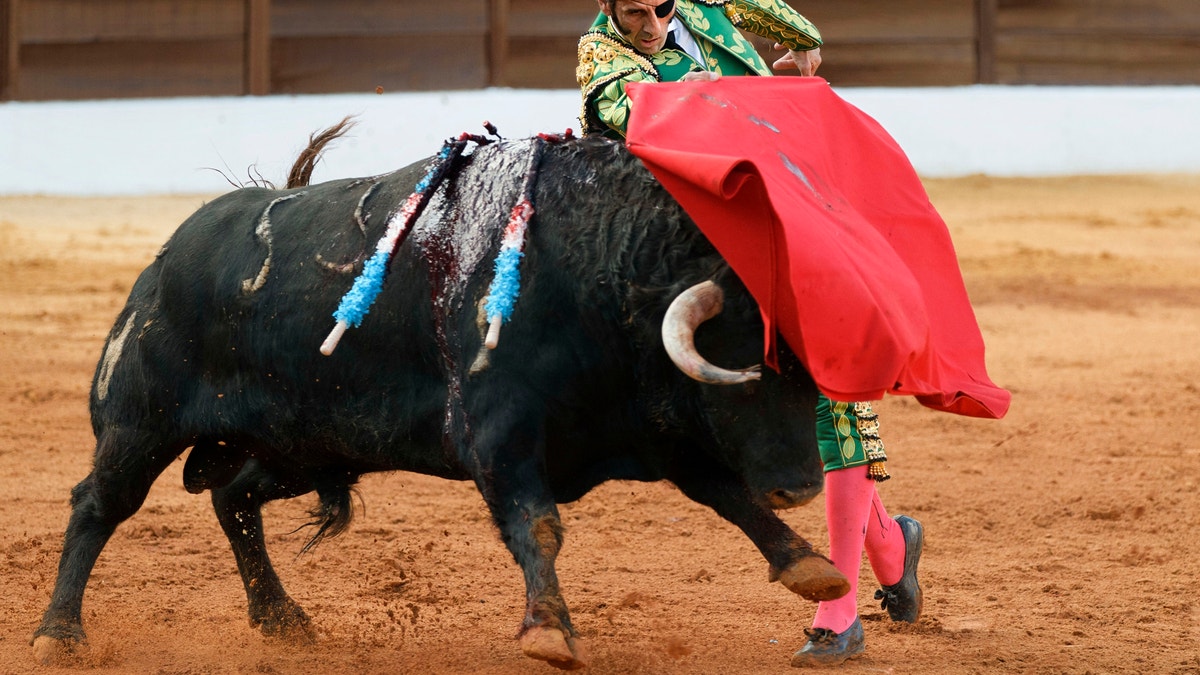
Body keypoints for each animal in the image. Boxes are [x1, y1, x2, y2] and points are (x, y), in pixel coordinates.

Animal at [32, 133, 849, 662]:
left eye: (810, 374)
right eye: (745, 366)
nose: (803, 486)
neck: (596, 269)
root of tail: (164, 259)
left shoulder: (658, 429)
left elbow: (726, 494)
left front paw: (809, 565)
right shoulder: (499, 432)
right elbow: (537, 523)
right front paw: (549, 629)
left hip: (306, 444)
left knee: (232, 497)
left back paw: (282, 618)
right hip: (142, 423)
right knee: (98, 503)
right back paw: (58, 632)